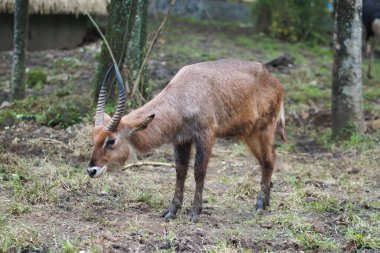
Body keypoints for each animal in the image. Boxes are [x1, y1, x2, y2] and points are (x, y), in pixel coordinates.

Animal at [89, 58, 284, 222]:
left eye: (111, 140)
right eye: (94, 138)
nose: (92, 170)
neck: (183, 96)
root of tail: (273, 80)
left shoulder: (205, 136)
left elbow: (199, 171)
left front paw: (195, 212)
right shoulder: (181, 140)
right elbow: (180, 171)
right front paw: (172, 211)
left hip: (263, 130)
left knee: (270, 160)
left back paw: (260, 205)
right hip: (250, 135)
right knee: (267, 161)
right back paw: (265, 202)